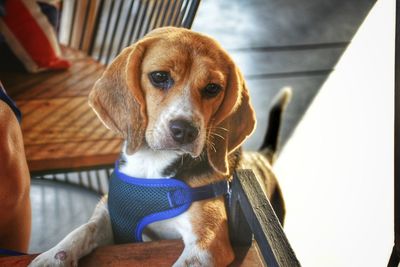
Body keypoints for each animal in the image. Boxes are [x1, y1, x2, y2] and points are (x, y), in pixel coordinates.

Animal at [29, 27, 290, 267]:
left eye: (213, 88)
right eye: (159, 77)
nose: (185, 130)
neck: (151, 166)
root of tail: (263, 157)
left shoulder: (207, 242)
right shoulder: (110, 213)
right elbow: (84, 230)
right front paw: (52, 257)